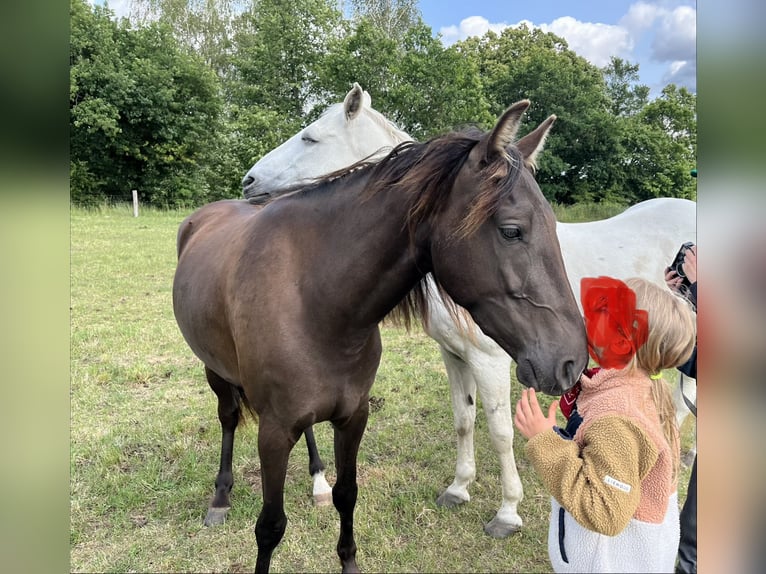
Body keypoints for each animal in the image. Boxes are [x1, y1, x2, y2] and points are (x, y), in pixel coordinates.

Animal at [173, 101, 589, 572]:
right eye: (512, 230)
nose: (572, 359)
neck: (315, 298)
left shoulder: (353, 416)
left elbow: (347, 494)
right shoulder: (274, 431)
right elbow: (270, 526)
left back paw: (316, 479)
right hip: (216, 372)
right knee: (227, 418)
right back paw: (220, 498)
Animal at [240, 83, 698, 539]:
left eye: (310, 138)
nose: (247, 182)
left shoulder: (490, 360)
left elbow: (499, 431)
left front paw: (507, 511)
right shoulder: (454, 355)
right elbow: (464, 418)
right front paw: (459, 488)